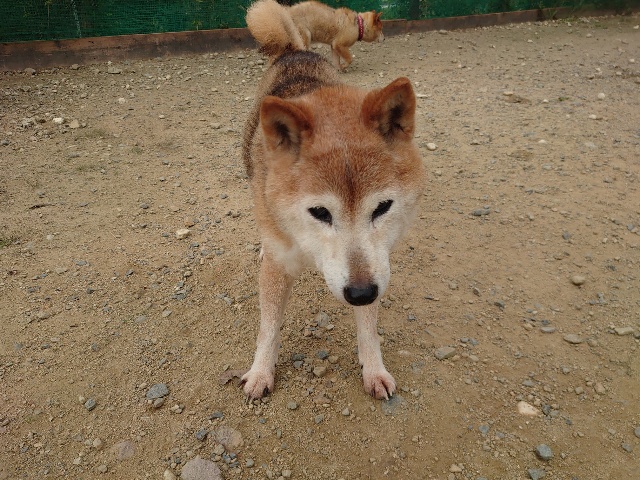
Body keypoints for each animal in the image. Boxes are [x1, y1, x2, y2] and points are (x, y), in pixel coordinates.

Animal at [248, 0, 384, 70]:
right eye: (381, 29)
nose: (384, 38)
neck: (359, 25)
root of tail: (285, 12)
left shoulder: (334, 46)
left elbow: (336, 60)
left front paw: (338, 69)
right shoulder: (340, 45)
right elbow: (350, 58)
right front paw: (344, 66)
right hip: (304, 36)